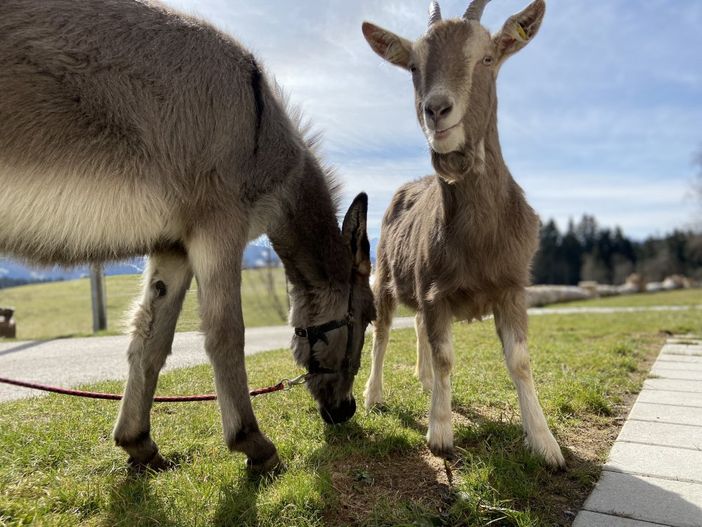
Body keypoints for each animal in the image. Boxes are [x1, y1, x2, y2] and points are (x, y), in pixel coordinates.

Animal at [0, 0, 380, 470]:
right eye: (368, 317)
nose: (346, 411)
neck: (261, 131)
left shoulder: (174, 245)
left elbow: (150, 340)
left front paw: (137, 442)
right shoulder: (219, 227)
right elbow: (225, 334)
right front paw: (253, 443)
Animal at [364, 0, 568, 470]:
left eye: (487, 58)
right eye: (413, 66)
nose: (437, 110)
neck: (478, 239)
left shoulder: (512, 286)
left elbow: (520, 360)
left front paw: (544, 443)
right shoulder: (436, 291)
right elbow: (445, 356)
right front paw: (440, 433)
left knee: (416, 325)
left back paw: (422, 382)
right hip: (384, 276)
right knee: (382, 331)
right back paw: (374, 394)